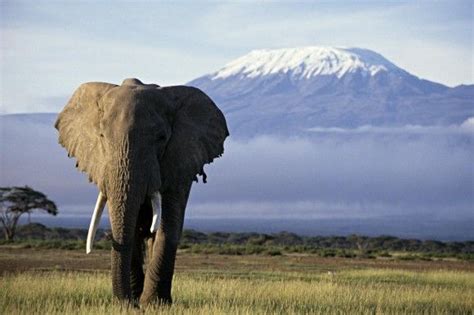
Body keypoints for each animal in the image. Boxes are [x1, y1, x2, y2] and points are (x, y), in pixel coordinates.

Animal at [55, 78, 230, 306]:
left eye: (161, 138)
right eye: (101, 136)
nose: (128, 304)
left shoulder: (179, 160)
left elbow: (168, 225)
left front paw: (155, 304)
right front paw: (134, 303)